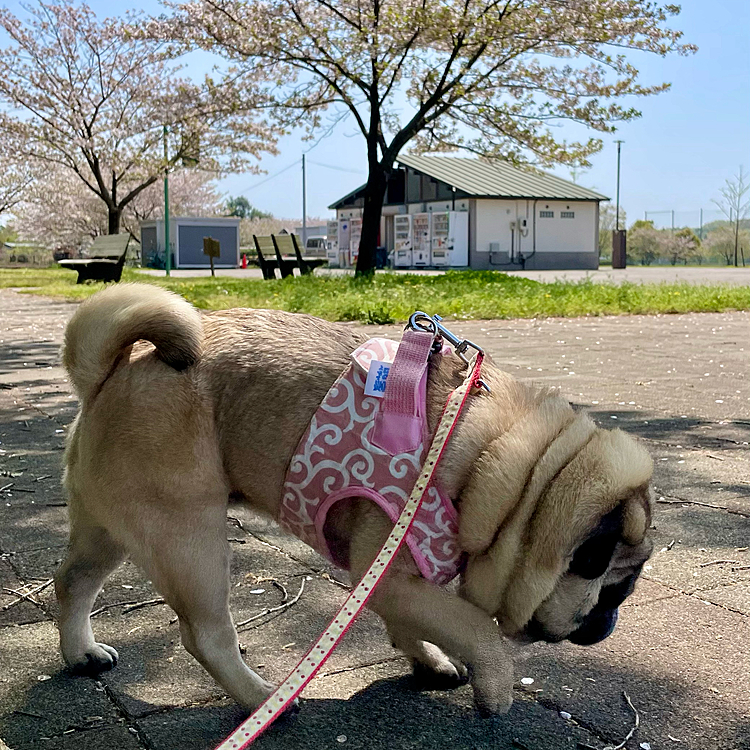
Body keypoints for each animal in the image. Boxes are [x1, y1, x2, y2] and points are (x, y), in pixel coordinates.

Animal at [55, 284, 656, 720]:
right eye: (614, 589)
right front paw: (495, 688)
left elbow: (413, 627)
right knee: (205, 634)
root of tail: (108, 373)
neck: (508, 472)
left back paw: (81, 653)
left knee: (74, 581)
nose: (611, 620)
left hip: (111, 527)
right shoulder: (389, 573)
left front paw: (431, 662)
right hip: (187, 534)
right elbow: (476, 629)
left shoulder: (399, 584)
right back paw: (262, 700)